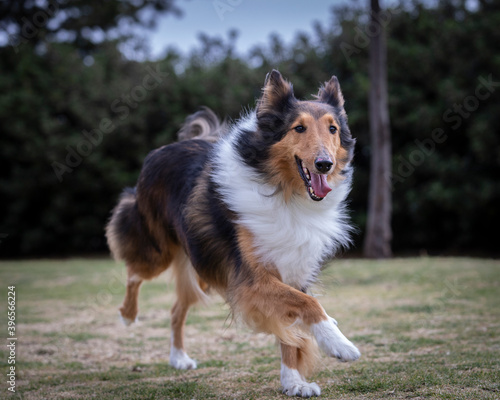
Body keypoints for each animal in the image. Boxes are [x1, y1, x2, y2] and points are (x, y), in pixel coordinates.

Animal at [107, 70, 362, 396]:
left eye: (332, 128)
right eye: (299, 128)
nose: (324, 164)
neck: (286, 194)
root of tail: (165, 149)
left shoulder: (292, 269)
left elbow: (291, 329)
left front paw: (293, 381)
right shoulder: (252, 279)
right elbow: (309, 305)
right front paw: (339, 344)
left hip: (202, 265)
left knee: (176, 309)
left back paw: (179, 358)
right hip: (158, 251)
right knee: (134, 273)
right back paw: (127, 315)